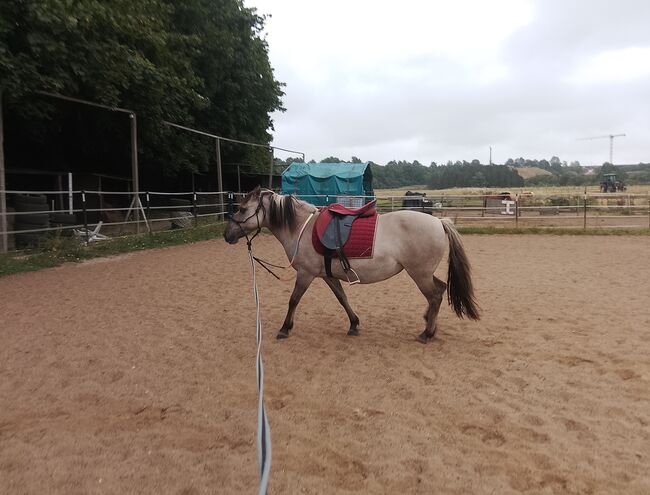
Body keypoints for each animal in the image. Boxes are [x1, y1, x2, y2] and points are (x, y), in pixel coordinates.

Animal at [225, 188, 478, 342]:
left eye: (242, 209)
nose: (227, 234)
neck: (302, 228)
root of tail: (439, 221)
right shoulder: (327, 275)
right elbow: (342, 297)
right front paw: (354, 324)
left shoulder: (306, 274)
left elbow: (293, 300)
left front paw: (285, 328)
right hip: (423, 274)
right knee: (440, 290)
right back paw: (429, 323)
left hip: (419, 274)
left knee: (434, 296)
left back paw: (427, 333)